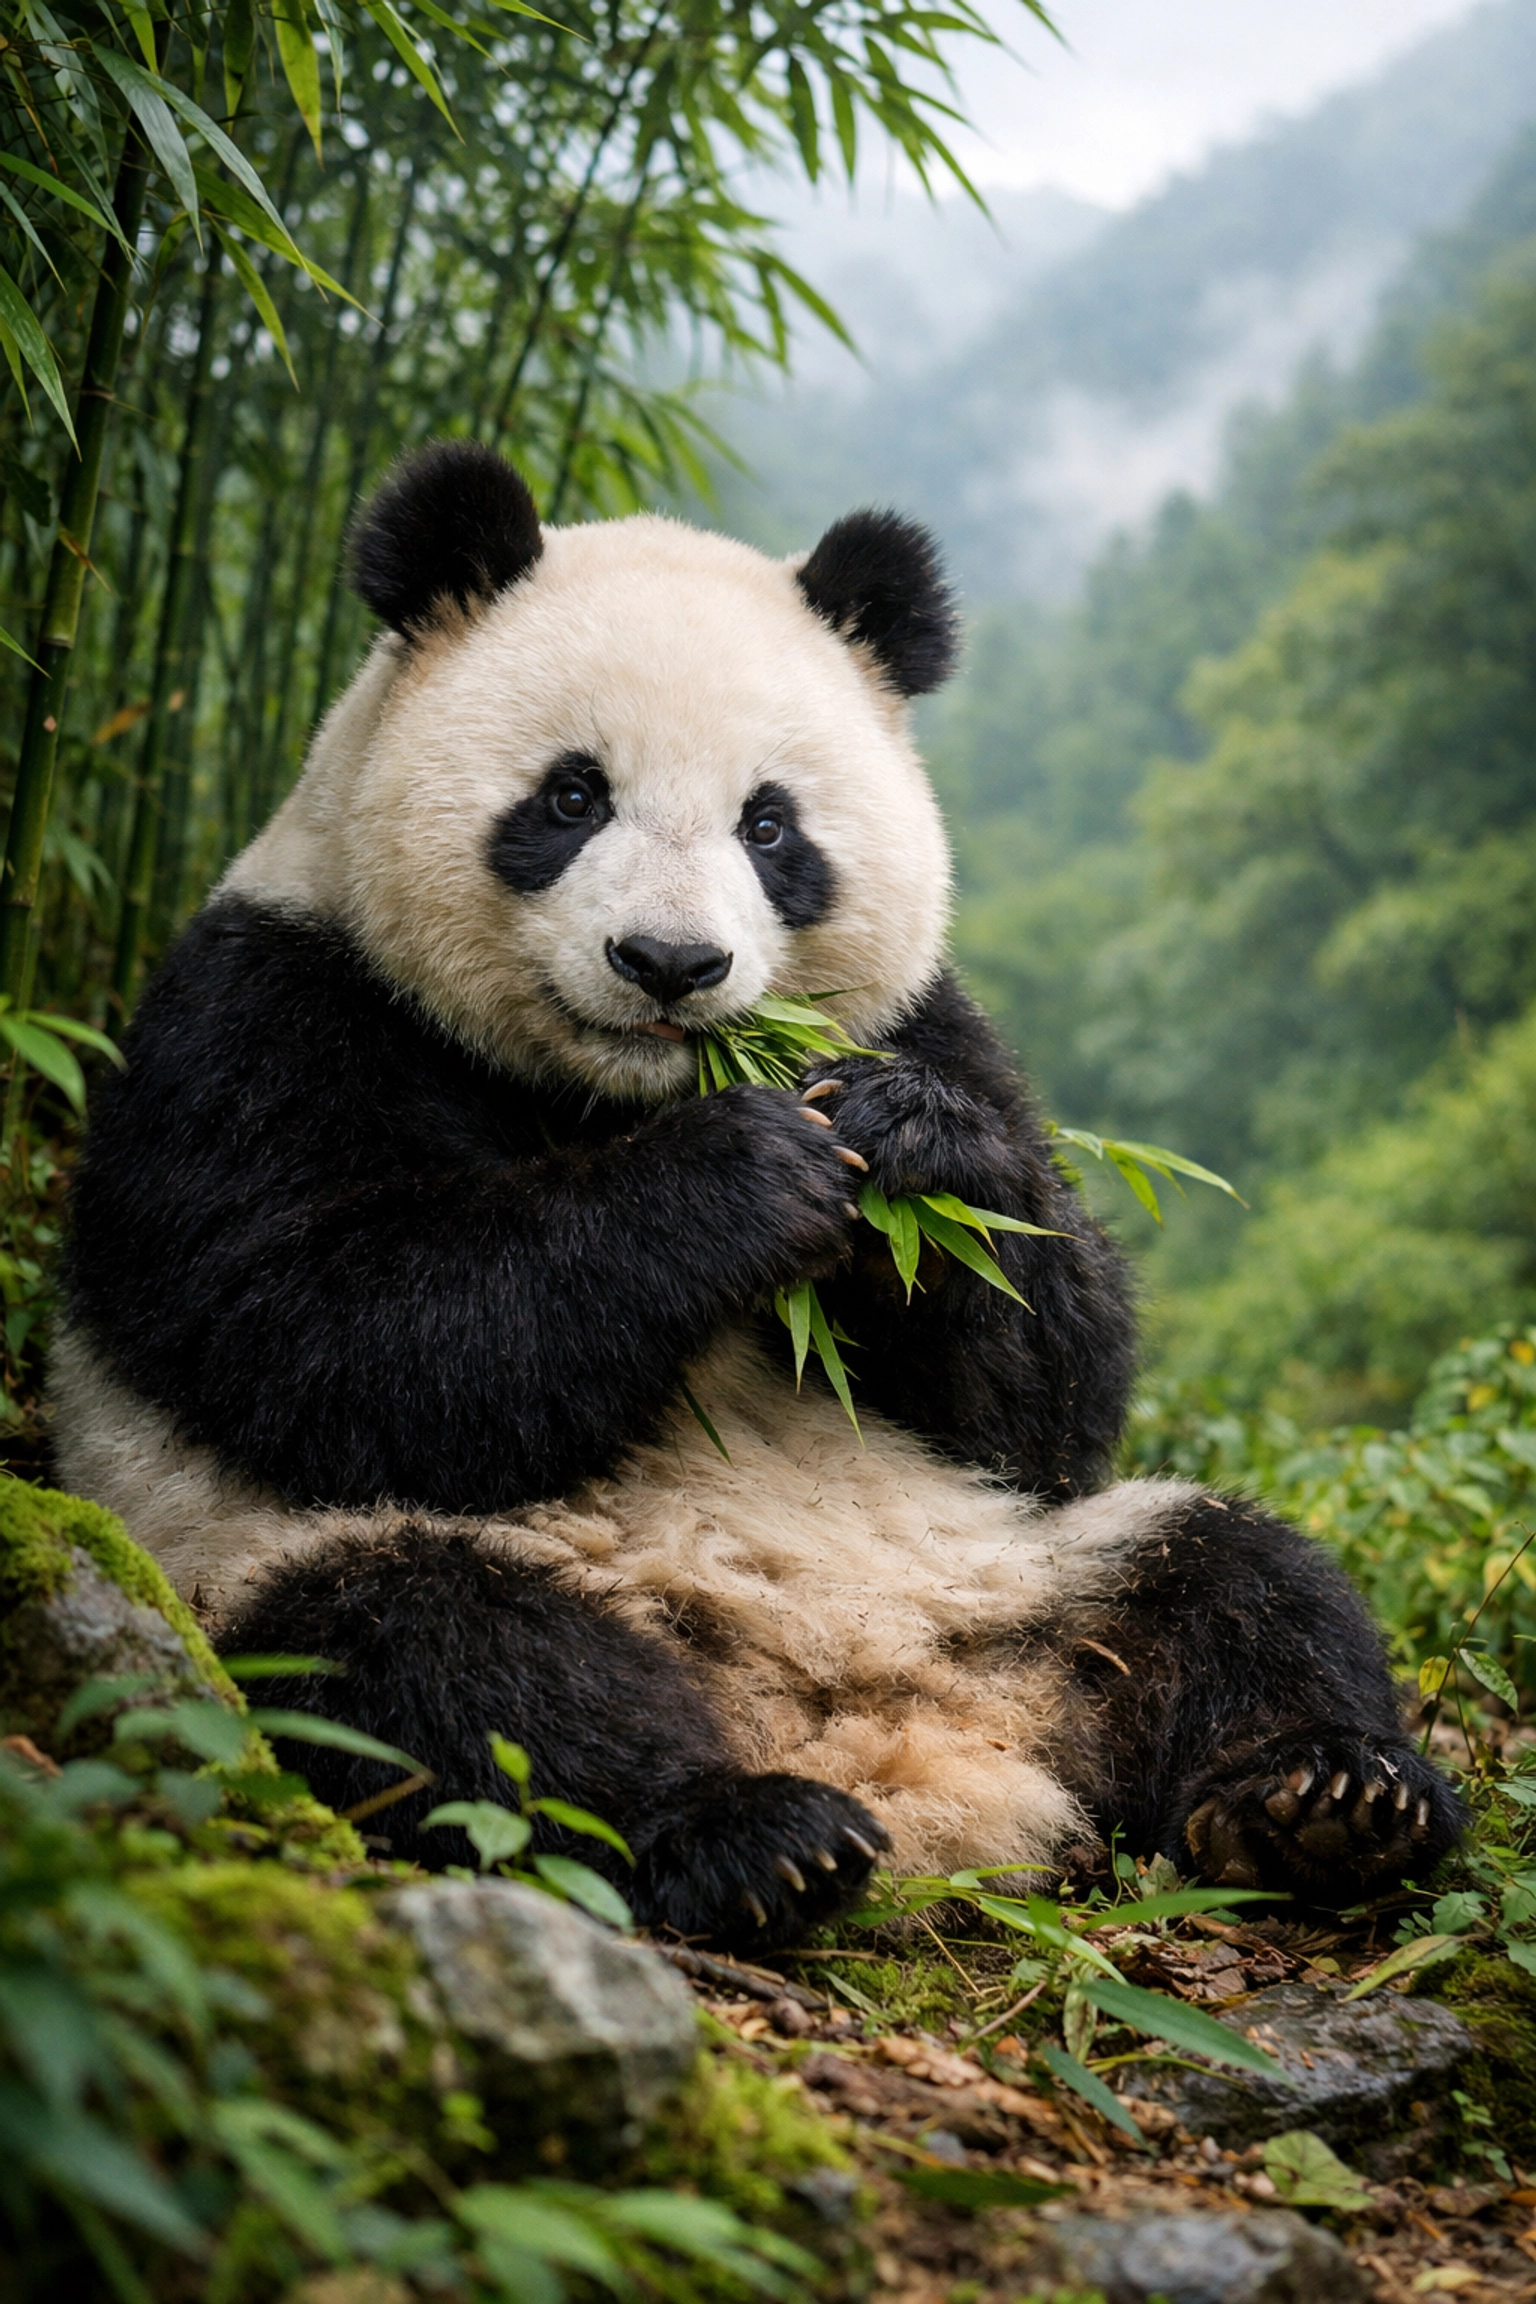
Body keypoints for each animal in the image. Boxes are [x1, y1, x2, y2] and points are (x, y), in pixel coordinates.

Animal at [52, 440, 1461, 1948]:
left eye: (771, 826)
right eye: (572, 798)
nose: (670, 964)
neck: (609, 1092)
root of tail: (892, 1725)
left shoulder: (930, 1020)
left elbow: (1049, 1382)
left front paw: (912, 1152)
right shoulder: (263, 1008)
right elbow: (319, 1326)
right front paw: (739, 1178)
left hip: (1017, 1570)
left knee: (1238, 1577)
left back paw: (1325, 1799)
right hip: (291, 1568)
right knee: (445, 1671)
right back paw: (748, 1835)